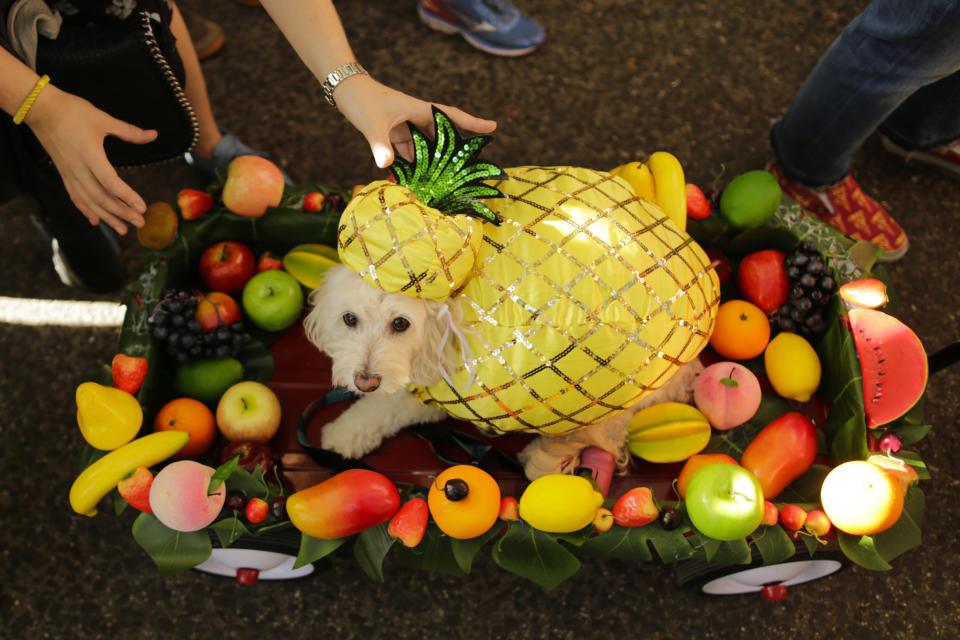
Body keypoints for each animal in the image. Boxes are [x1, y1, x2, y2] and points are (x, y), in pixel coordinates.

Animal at [304, 262, 700, 478]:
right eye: (349, 319)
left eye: (401, 324)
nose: (365, 380)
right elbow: (384, 407)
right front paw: (346, 434)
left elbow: (386, 405)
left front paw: (342, 433)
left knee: (603, 427)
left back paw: (546, 457)